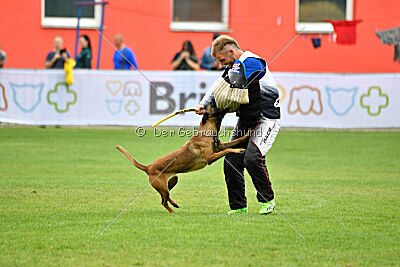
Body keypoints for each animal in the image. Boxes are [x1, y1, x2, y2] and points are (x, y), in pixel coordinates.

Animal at [114, 105, 248, 214]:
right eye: (215, 110)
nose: (218, 104)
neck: (206, 132)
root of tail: (148, 167)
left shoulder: (219, 147)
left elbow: (234, 141)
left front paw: (247, 134)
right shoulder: (210, 158)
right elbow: (227, 150)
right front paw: (238, 150)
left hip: (172, 181)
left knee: (165, 198)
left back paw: (174, 204)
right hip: (162, 186)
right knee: (163, 201)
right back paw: (173, 211)